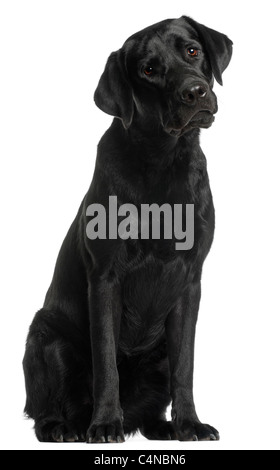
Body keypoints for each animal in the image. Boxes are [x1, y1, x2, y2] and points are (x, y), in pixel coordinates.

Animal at [23, 14, 232, 440]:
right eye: (149, 70)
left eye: (192, 50)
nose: (195, 91)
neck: (163, 160)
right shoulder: (105, 278)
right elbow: (106, 363)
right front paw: (105, 424)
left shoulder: (190, 281)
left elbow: (185, 366)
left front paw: (190, 424)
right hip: (45, 336)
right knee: (42, 406)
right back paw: (63, 427)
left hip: (158, 352)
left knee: (153, 404)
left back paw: (163, 426)